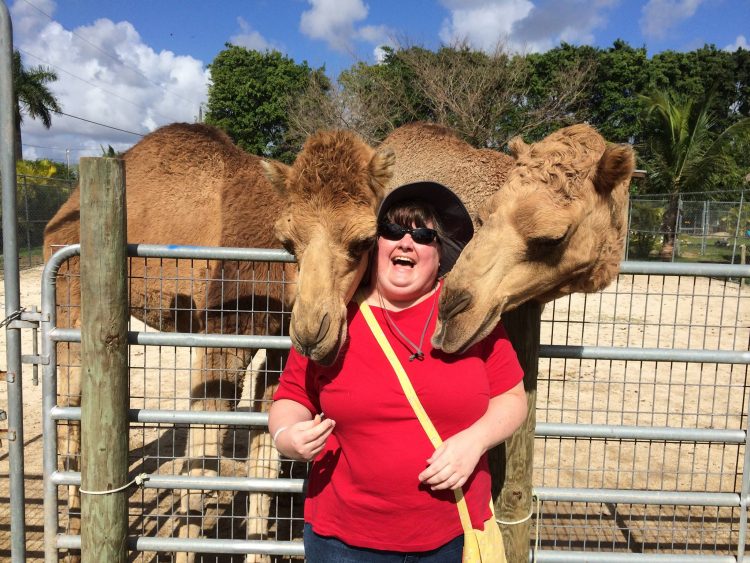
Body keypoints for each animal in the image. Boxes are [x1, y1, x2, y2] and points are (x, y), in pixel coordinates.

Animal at [41, 121, 396, 560]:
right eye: (288, 241)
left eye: (365, 241)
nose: (313, 332)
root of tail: (58, 217)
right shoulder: (224, 330)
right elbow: (202, 445)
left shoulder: (278, 343)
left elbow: (266, 449)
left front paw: (259, 551)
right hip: (68, 293)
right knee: (68, 407)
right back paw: (74, 536)